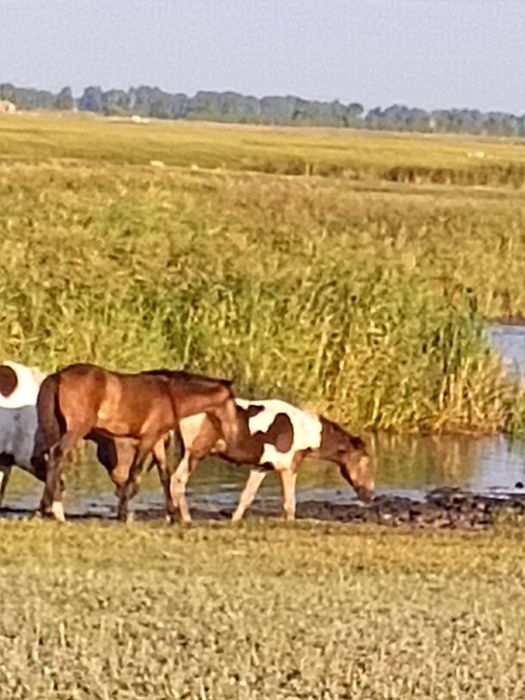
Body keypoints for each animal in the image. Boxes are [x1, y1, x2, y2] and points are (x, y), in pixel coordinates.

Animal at [34, 363, 238, 522]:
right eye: (233, 402)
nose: (233, 433)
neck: (170, 394)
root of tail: (58, 376)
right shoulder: (147, 439)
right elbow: (135, 471)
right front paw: (123, 512)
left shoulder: (157, 441)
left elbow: (164, 475)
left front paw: (172, 514)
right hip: (76, 429)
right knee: (57, 454)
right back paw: (45, 508)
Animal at [167, 397, 374, 522]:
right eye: (364, 461)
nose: (369, 494)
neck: (305, 430)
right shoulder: (288, 468)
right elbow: (289, 504)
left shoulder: (261, 467)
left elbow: (246, 497)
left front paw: (234, 521)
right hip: (194, 453)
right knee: (177, 480)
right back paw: (186, 519)